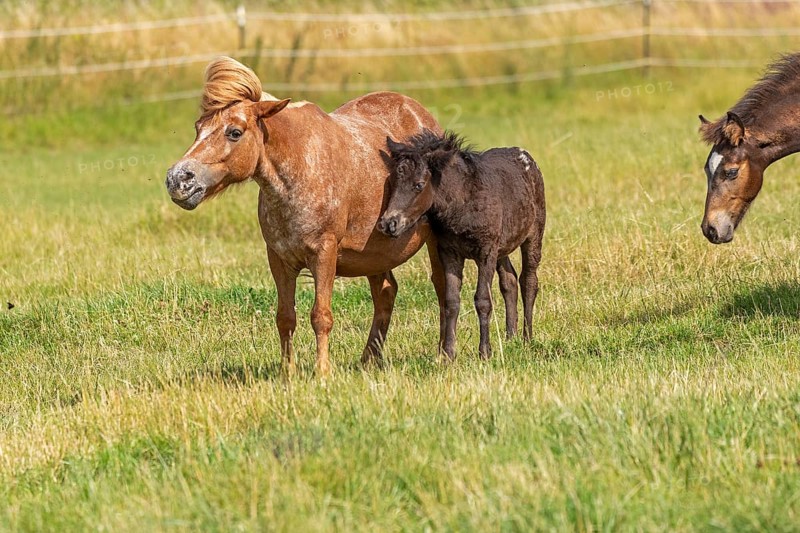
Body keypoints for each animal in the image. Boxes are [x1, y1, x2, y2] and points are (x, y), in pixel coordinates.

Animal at [165, 57, 447, 375]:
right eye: (198, 127)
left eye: (234, 132)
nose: (178, 179)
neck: (300, 169)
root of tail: (421, 116)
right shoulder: (279, 259)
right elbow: (285, 317)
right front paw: (287, 372)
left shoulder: (324, 254)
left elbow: (320, 315)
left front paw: (322, 372)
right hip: (376, 255)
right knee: (385, 292)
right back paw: (368, 360)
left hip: (435, 242)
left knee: (442, 286)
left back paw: (442, 355)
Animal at [376, 130, 546, 360]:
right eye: (392, 182)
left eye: (419, 185)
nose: (389, 223)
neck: (462, 204)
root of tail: (526, 156)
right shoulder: (450, 252)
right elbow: (451, 301)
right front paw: (448, 354)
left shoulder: (486, 251)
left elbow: (483, 300)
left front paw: (485, 352)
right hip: (503, 245)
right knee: (509, 280)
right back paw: (511, 338)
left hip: (534, 234)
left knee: (528, 280)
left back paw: (527, 338)